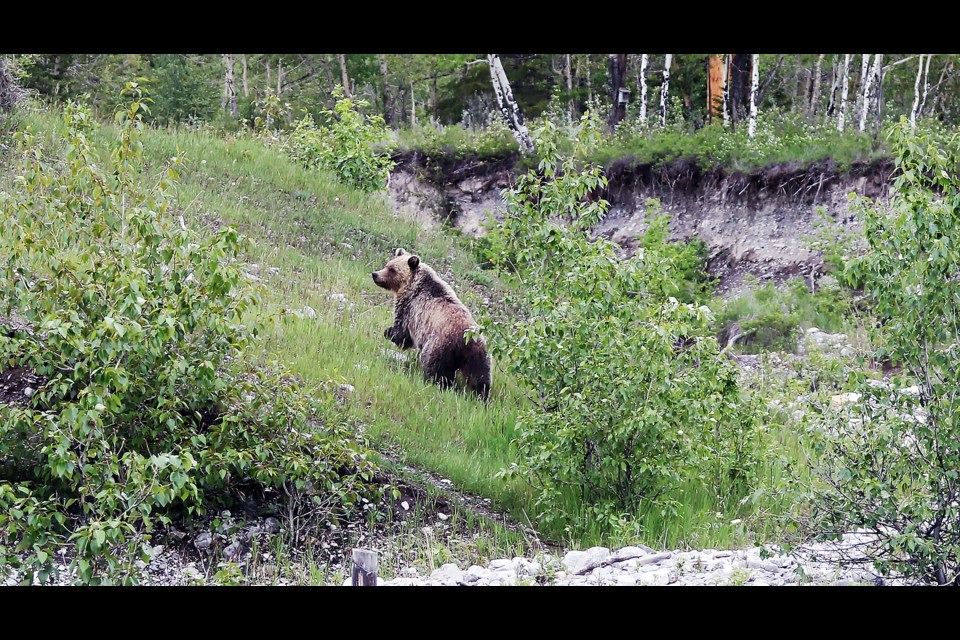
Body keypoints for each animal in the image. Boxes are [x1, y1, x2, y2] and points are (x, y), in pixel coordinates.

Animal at [372, 249, 492, 400]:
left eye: (392, 269)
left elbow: (402, 332)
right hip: (479, 353)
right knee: (480, 376)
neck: (413, 285)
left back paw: (438, 384)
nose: (375, 274)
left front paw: (388, 332)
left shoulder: (410, 309)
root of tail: (466, 339)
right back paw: (481, 396)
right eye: (387, 264)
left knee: (434, 366)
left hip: (439, 345)